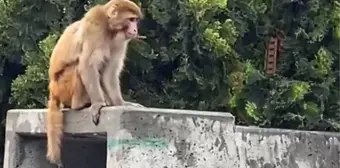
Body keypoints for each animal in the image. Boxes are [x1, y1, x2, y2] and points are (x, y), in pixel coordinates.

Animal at [45, 0, 143, 166]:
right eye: (131, 19)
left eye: (135, 20)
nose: (135, 29)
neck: (110, 28)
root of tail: (53, 89)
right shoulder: (95, 28)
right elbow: (87, 65)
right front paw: (98, 104)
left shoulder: (119, 42)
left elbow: (108, 74)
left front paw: (121, 103)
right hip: (63, 86)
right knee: (78, 67)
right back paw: (80, 104)